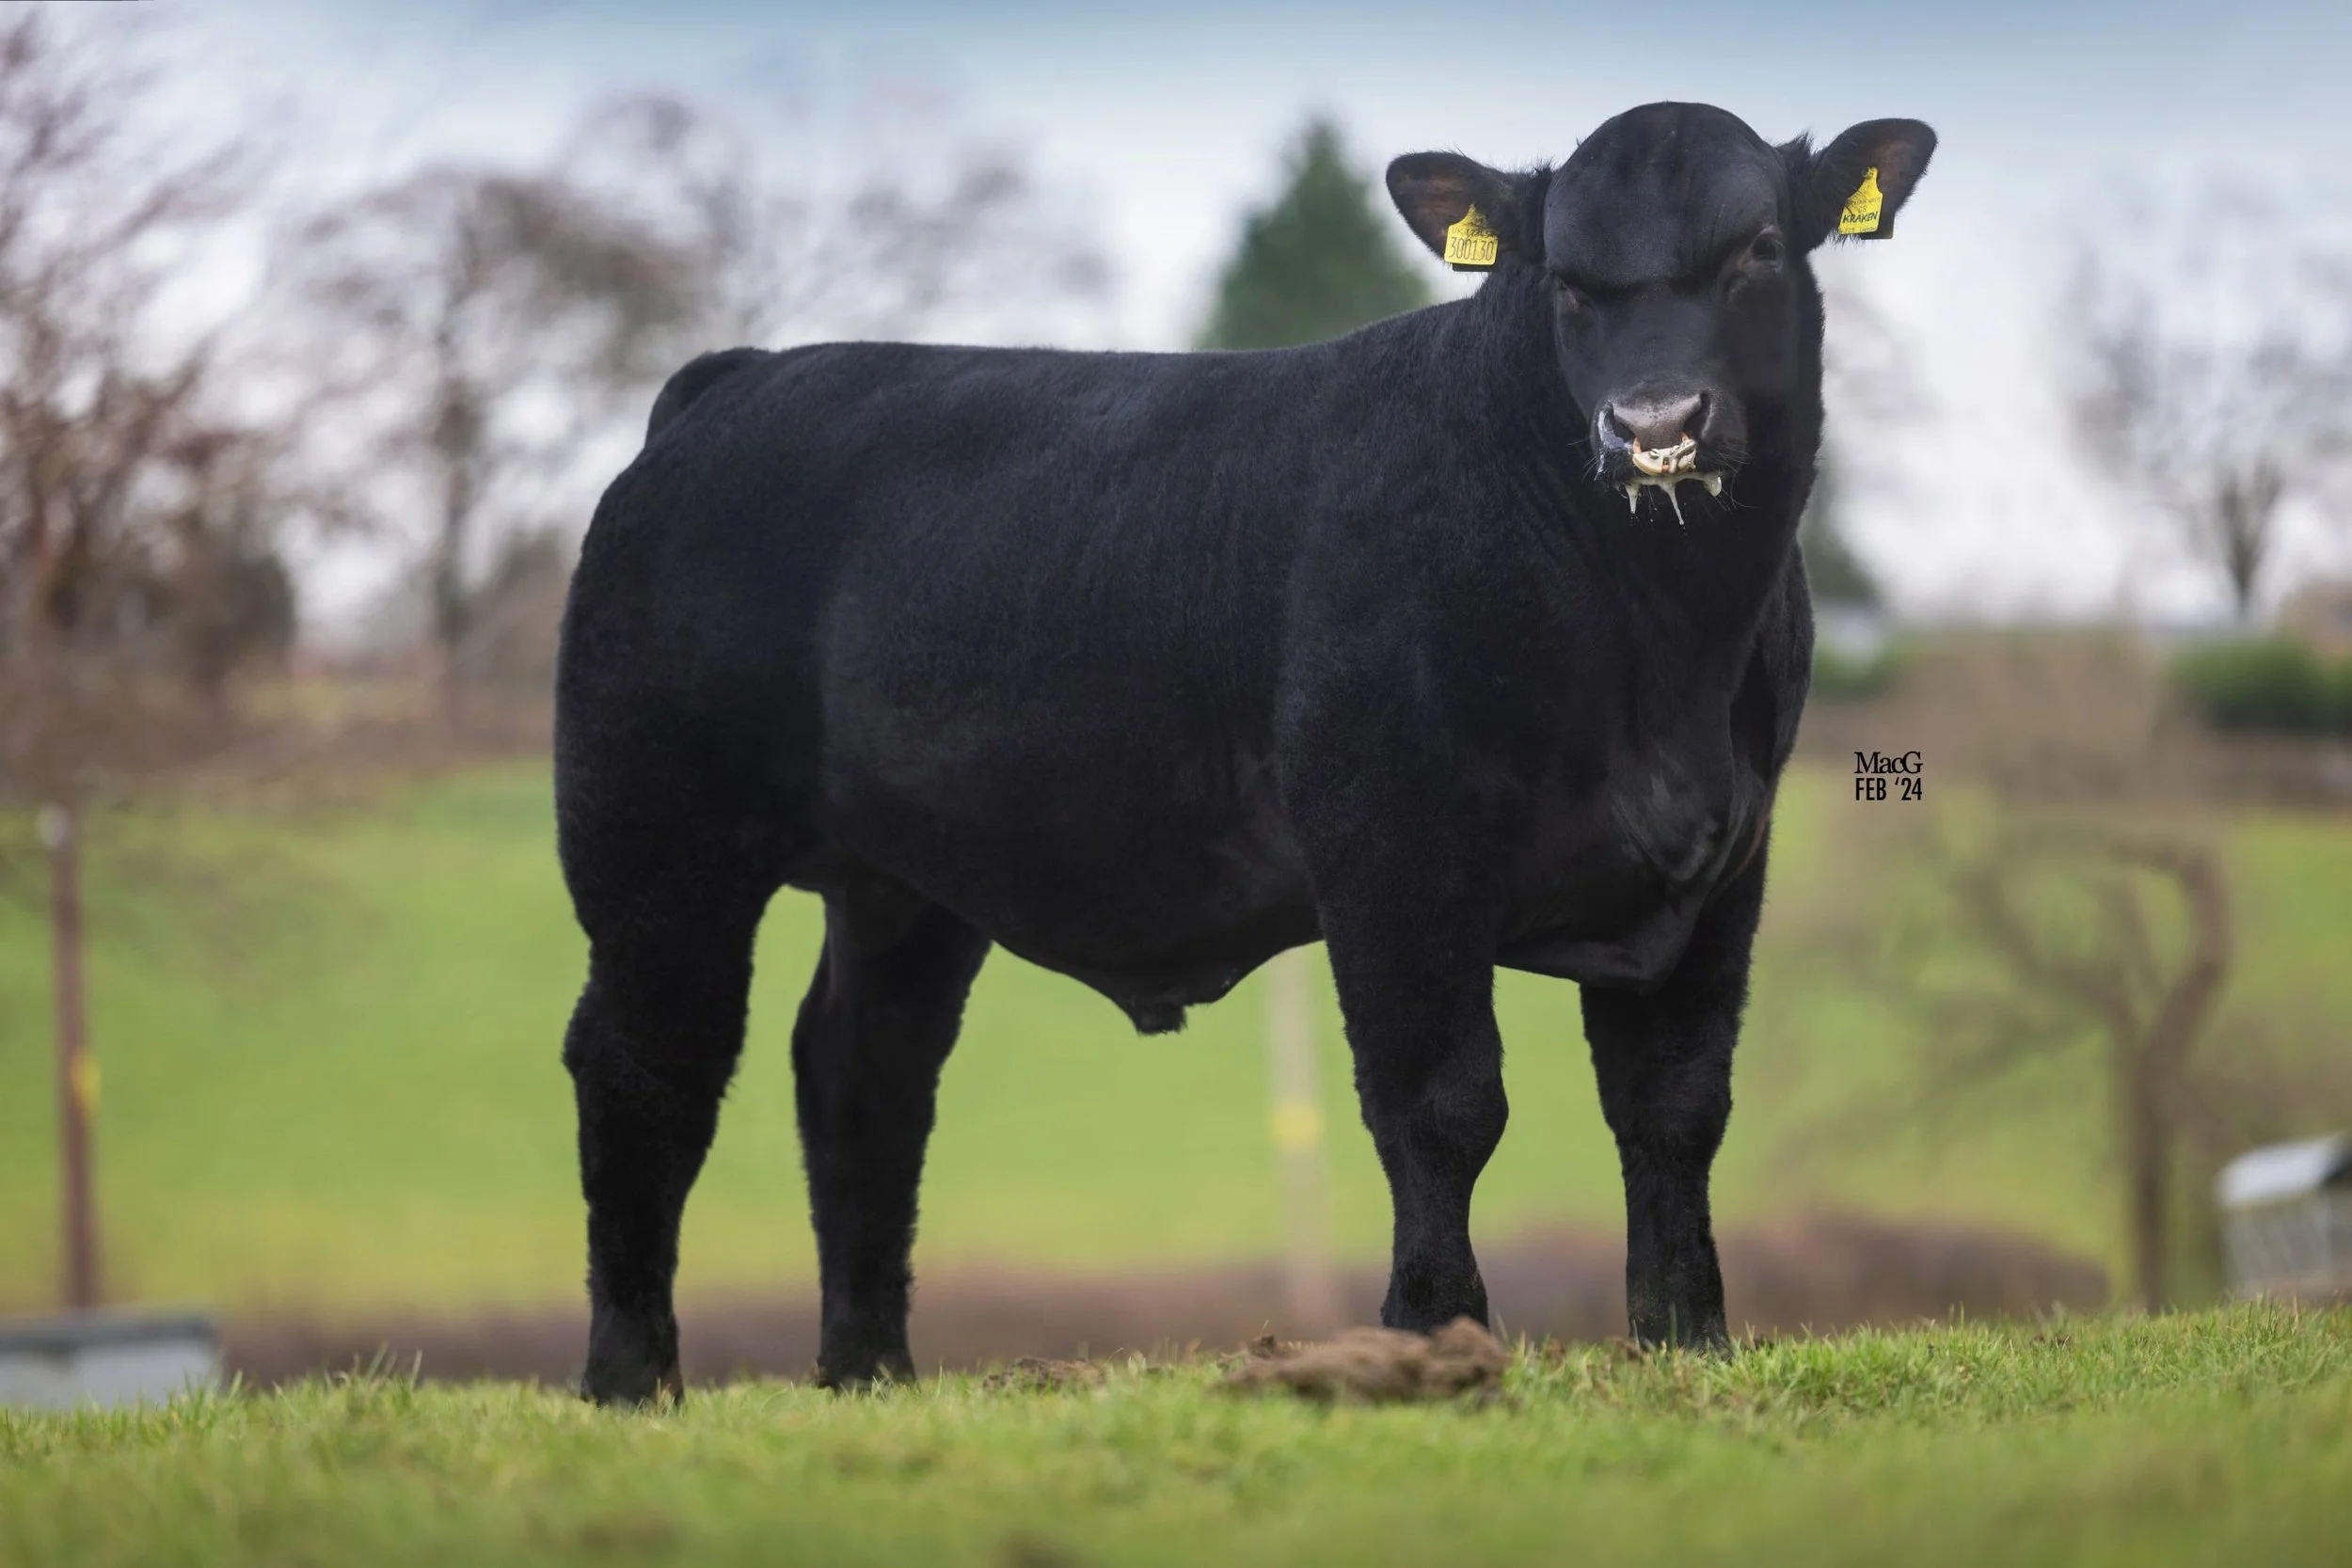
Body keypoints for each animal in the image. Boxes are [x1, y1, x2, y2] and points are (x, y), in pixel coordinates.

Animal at [555, 100, 1936, 1405]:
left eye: (1758, 250)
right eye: (1562, 277)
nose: (1653, 423)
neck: (1664, 659)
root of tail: (744, 381)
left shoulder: (1724, 857)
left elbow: (1675, 1105)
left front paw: (1687, 1337)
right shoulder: (1391, 844)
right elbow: (1441, 1099)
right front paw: (1432, 1331)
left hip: (903, 881)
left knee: (863, 1070)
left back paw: (868, 1370)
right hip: (654, 835)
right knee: (644, 1059)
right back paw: (631, 1374)